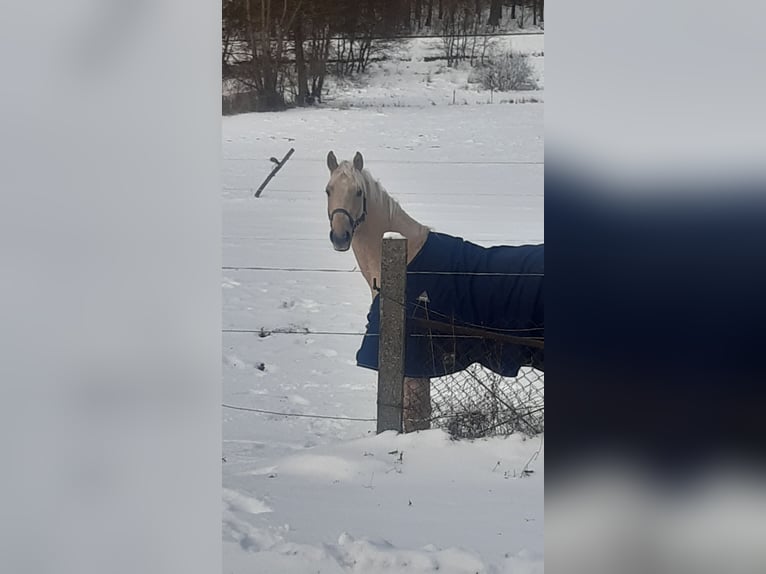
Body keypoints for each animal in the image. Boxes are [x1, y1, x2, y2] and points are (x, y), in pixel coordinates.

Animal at [324, 151, 544, 432]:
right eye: (329, 190)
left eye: (358, 191)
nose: (340, 237)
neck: (407, 258)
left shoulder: (416, 365)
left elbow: (416, 417)